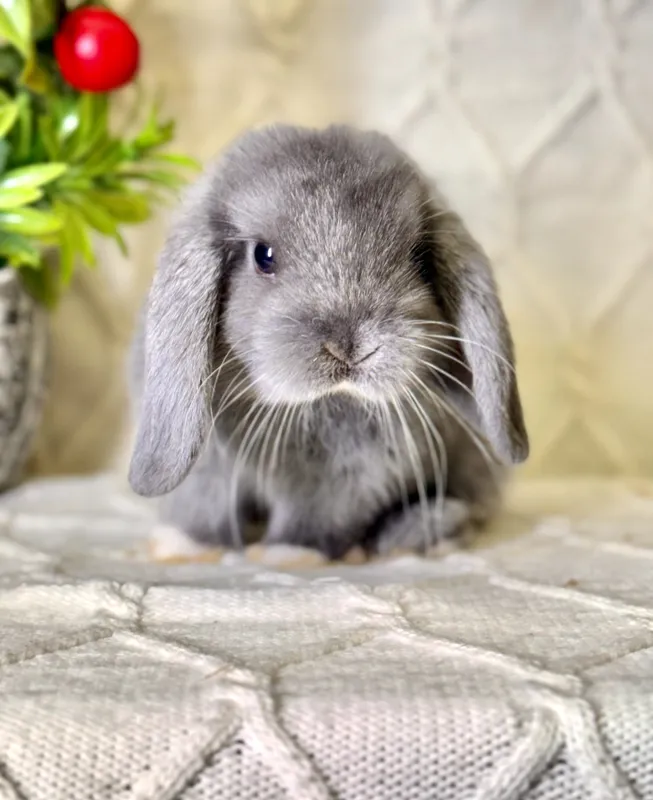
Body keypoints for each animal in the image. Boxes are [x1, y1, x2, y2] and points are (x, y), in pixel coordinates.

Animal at [128, 124, 529, 560]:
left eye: (419, 258)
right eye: (263, 255)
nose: (351, 346)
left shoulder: (351, 474)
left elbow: (318, 515)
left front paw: (289, 555)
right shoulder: (207, 465)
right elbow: (204, 507)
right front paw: (182, 546)